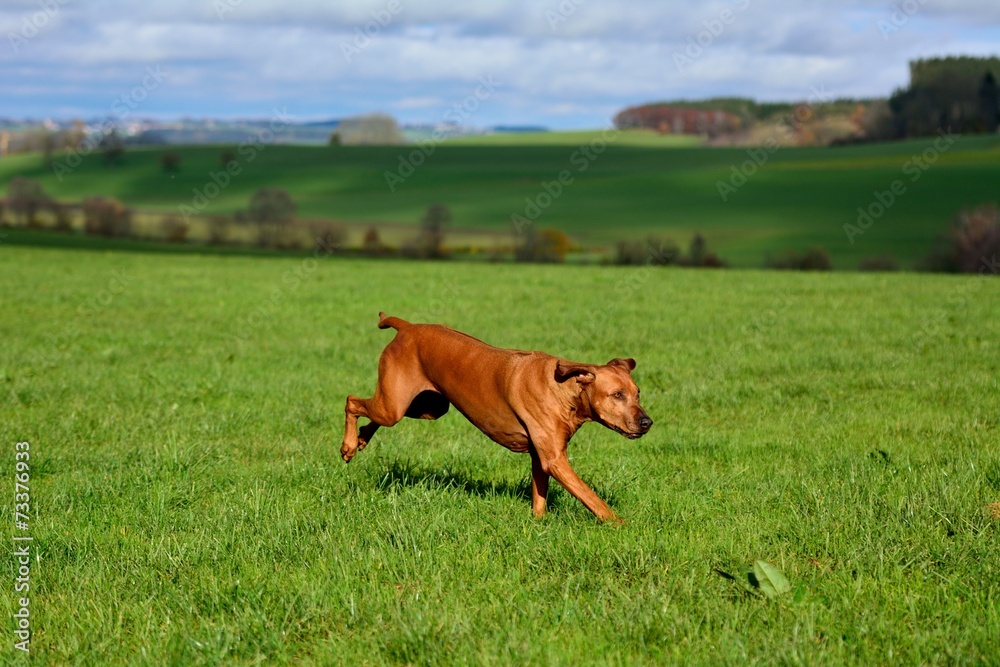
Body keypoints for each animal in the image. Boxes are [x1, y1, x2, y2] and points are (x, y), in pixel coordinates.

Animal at [342, 314, 656, 520]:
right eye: (617, 394)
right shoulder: (555, 460)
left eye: (637, 393)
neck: (563, 389)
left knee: (372, 412)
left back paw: (362, 438)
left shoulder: (541, 456)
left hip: (427, 407)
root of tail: (406, 328)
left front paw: (538, 523)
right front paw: (620, 524)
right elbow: (591, 497)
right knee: (352, 401)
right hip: (395, 406)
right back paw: (348, 445)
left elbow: (539, 495)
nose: (647, 423)